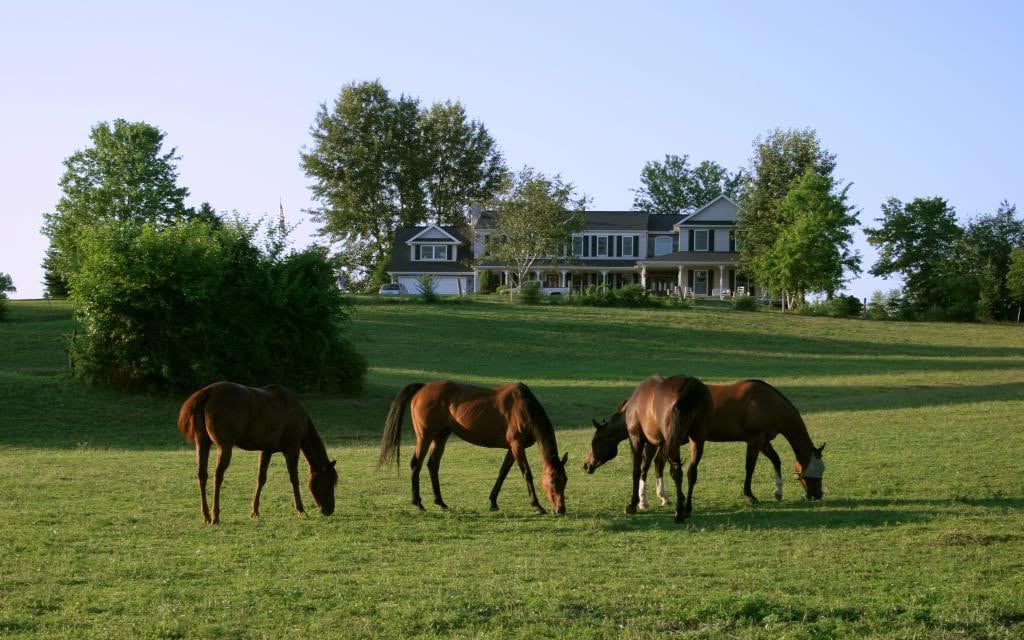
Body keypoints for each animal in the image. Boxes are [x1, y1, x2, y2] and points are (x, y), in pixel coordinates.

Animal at [175, 378, 335, 524]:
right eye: (329, 482)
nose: (329, 510)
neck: (292, 410)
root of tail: (210, 391)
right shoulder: (292, 449)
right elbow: (294, 479)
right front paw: (301, 510)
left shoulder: (266, 450)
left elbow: (261, 478)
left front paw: (255, 511)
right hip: (224, 447)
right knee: (218, 477)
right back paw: (215, 516)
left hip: (202, 444)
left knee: (202, 475)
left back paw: (206, 516)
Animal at [376, 378, 569, 514]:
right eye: (553, 481)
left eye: (565, 480)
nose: (560, 509)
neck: (524, 408)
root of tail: (423, 388)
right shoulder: (516, 445)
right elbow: (527, 473)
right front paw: (537, 506)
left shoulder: (512, 448)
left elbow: (502, 473)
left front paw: (493, 502)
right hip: (425, 436)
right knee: (416, 464)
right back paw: (418, 502)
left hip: (441, 435)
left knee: (433, 465)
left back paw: (441, 502)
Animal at [581, 374, 716, 520]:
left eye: (595, 441)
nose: (586, 465)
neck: (631, 409)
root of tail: (689, 387)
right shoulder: (656, 443)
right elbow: (651, 466)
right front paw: (651, 499)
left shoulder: (636, 439)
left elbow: (637, 470)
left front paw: (634, 504)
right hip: (696, 440)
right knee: (691, 473)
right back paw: (687, 509)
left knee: (676, 472)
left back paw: (679, 512)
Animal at [630, 378, 823, 509]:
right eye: (815, 472)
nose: (818, 495)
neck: (768, 402)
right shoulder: (755, 441)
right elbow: (750, 467)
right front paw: (750, 496)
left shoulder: (763, 441)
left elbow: (776, 460)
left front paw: (778, 491)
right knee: (646, 466)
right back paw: (643, 501)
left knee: (657, 464)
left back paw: (662, 497)